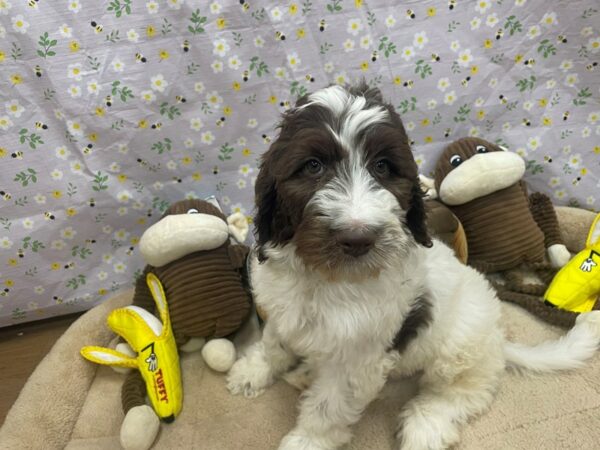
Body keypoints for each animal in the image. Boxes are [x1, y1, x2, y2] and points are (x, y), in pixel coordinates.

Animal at [226, 84, 600, 450]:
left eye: (383, 167)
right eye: (313, 166)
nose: (357, 239)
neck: (326, 276)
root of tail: (498, 340)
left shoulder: (360, 357)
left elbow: (328, 407)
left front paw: (307, 441)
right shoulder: (282, 310)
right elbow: (274, 344)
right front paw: (252, 372)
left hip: (458, 347)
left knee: (463, 390)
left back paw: (425, 427)